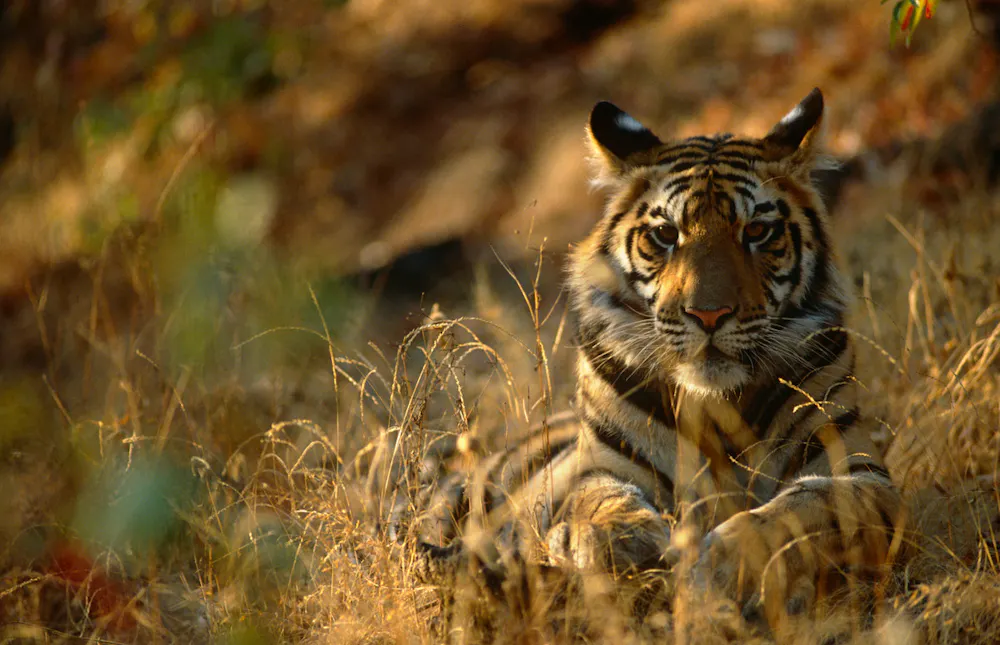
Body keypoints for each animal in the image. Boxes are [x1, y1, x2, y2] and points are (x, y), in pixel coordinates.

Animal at [382, 88, 906, 629]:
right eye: (666, 235)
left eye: (757, 231)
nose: (709, 313)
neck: (717, 404)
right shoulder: (603, 466)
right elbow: (599, 504)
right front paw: (626, 549)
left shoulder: (861, 472)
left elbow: (802, 509)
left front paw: (722, 567)